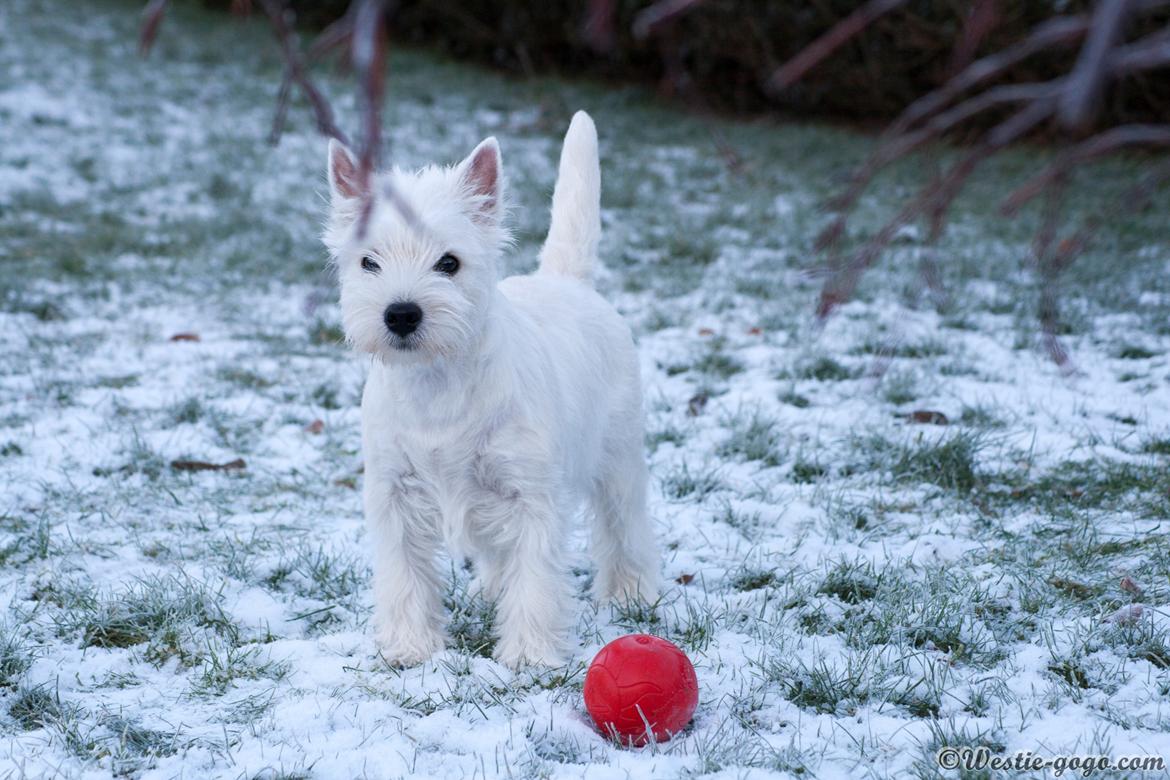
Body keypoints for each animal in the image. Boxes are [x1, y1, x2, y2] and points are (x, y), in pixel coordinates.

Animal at [322, 112, 659, 668]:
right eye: (369, 261)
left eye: (449, 263)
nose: (401, 314)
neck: (439, 383)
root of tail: (568, 282)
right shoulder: (395, 494)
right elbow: (406, 575)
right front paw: (410, 646)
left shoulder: (531, 495)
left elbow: (536, 578)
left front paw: (529, 655)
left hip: (619, 457)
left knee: (624, 526)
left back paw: (631, 593)